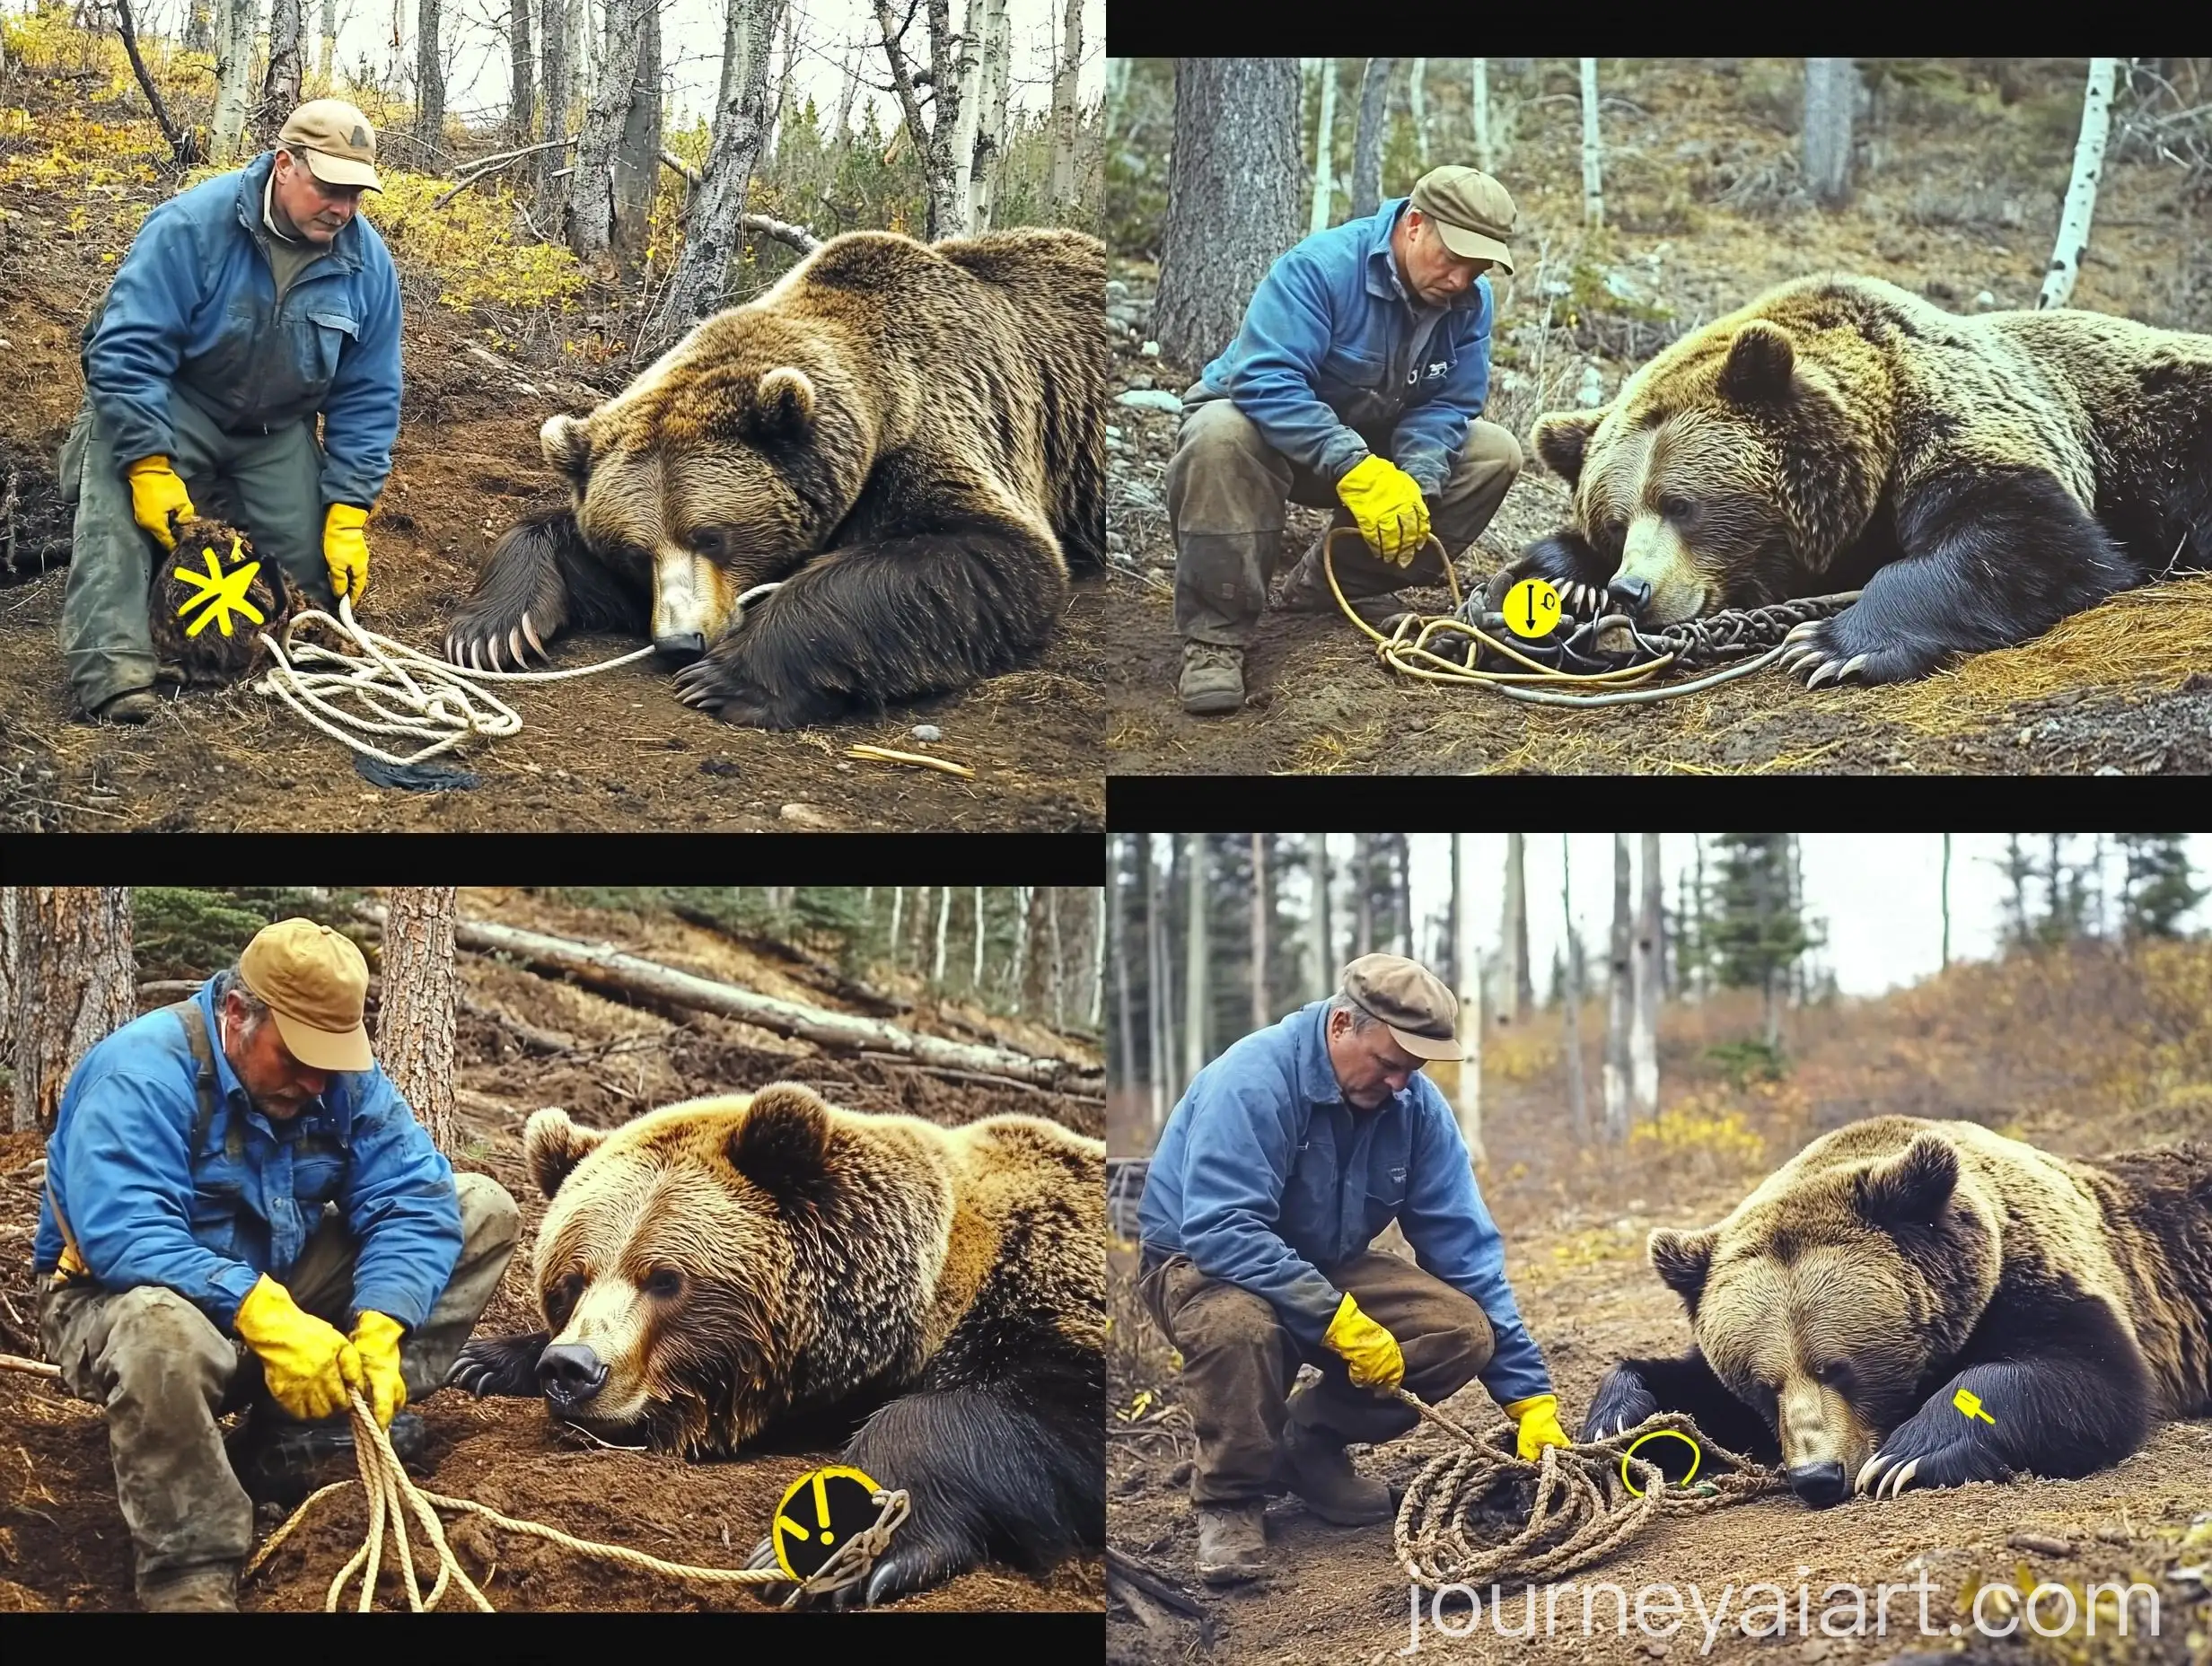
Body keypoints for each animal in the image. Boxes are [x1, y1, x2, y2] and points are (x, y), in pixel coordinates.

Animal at [440, 226, 1107, 729]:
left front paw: (724, 678)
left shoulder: (940, 429)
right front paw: (491, 631)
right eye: (634, 552)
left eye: (713, 536)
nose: (679, 642)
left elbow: (991, 552)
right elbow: (552, 538)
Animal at [446, 1082, 1106, 1606]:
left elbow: (1040, 1413)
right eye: (572, 1280)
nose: (573, 1369)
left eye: (664, 1278)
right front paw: (481, 1360)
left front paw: (830, 1543)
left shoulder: (1049, 1299)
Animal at [1502, 275, 2212, 684]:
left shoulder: (1961, 419)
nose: (1633, 589)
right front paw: (1569, 583)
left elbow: (2032, 535)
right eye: (1616, 521)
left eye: (1681, 504)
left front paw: (1829, 644)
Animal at [1578, 1117, 2212, 1508]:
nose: (1817, 1475)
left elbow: (2092, 1374)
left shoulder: (2040, 1275)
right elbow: (1694, 1392)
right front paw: (1618, 1420)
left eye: (1838, 1368)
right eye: (1763, 1385)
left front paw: (1904, 1457)